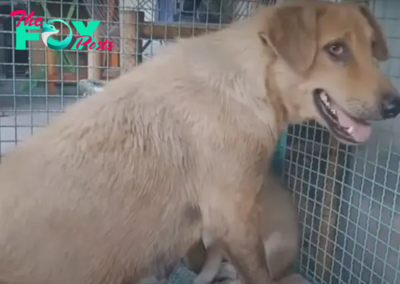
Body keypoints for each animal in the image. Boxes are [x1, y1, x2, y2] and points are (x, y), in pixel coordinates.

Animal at [0, 0, 396, 284]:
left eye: (372, 47)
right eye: (336, 49)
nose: (395, 105)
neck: (248, 88)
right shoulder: (233, 217)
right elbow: (258, 275)